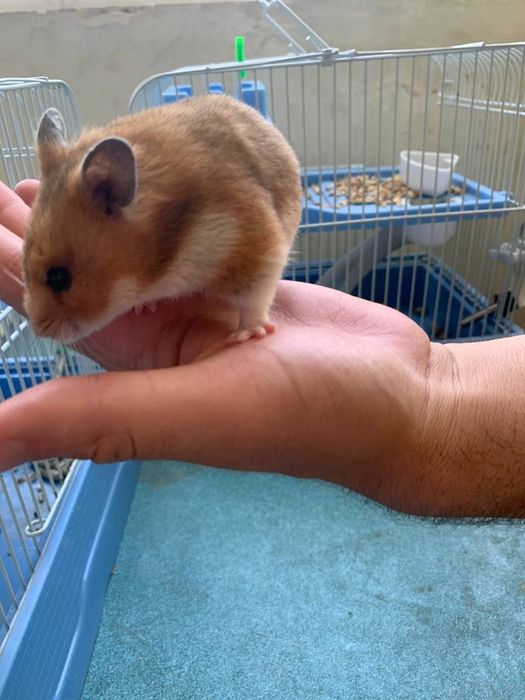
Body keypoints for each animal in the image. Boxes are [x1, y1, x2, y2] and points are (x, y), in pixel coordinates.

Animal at [22, 94, 301, 345]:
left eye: (59, 277)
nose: (40, 330)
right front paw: (142, 308)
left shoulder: (254, 247)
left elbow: (254, 298)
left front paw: (247, 335)